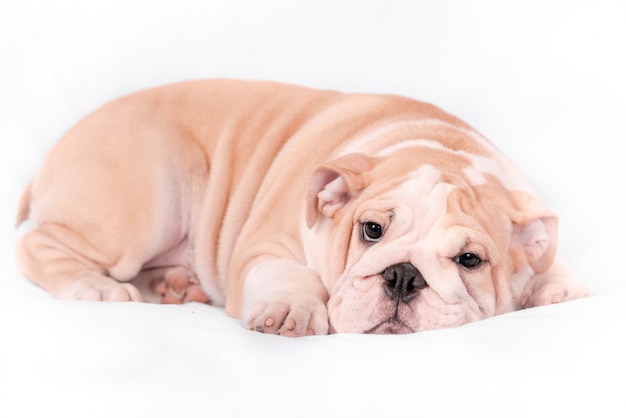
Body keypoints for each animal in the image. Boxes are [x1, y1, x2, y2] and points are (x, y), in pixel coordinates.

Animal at [14, 80, 588, 338]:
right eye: (371, 230)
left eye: (470, 260)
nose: (403, 275)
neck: (439, 149)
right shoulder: (267, 247)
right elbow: (292, 276)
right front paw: (292, 310)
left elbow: (552, 260)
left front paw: (560, 289)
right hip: (154, 199)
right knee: (36, 245)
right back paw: (97, 287)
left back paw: (177, 284)